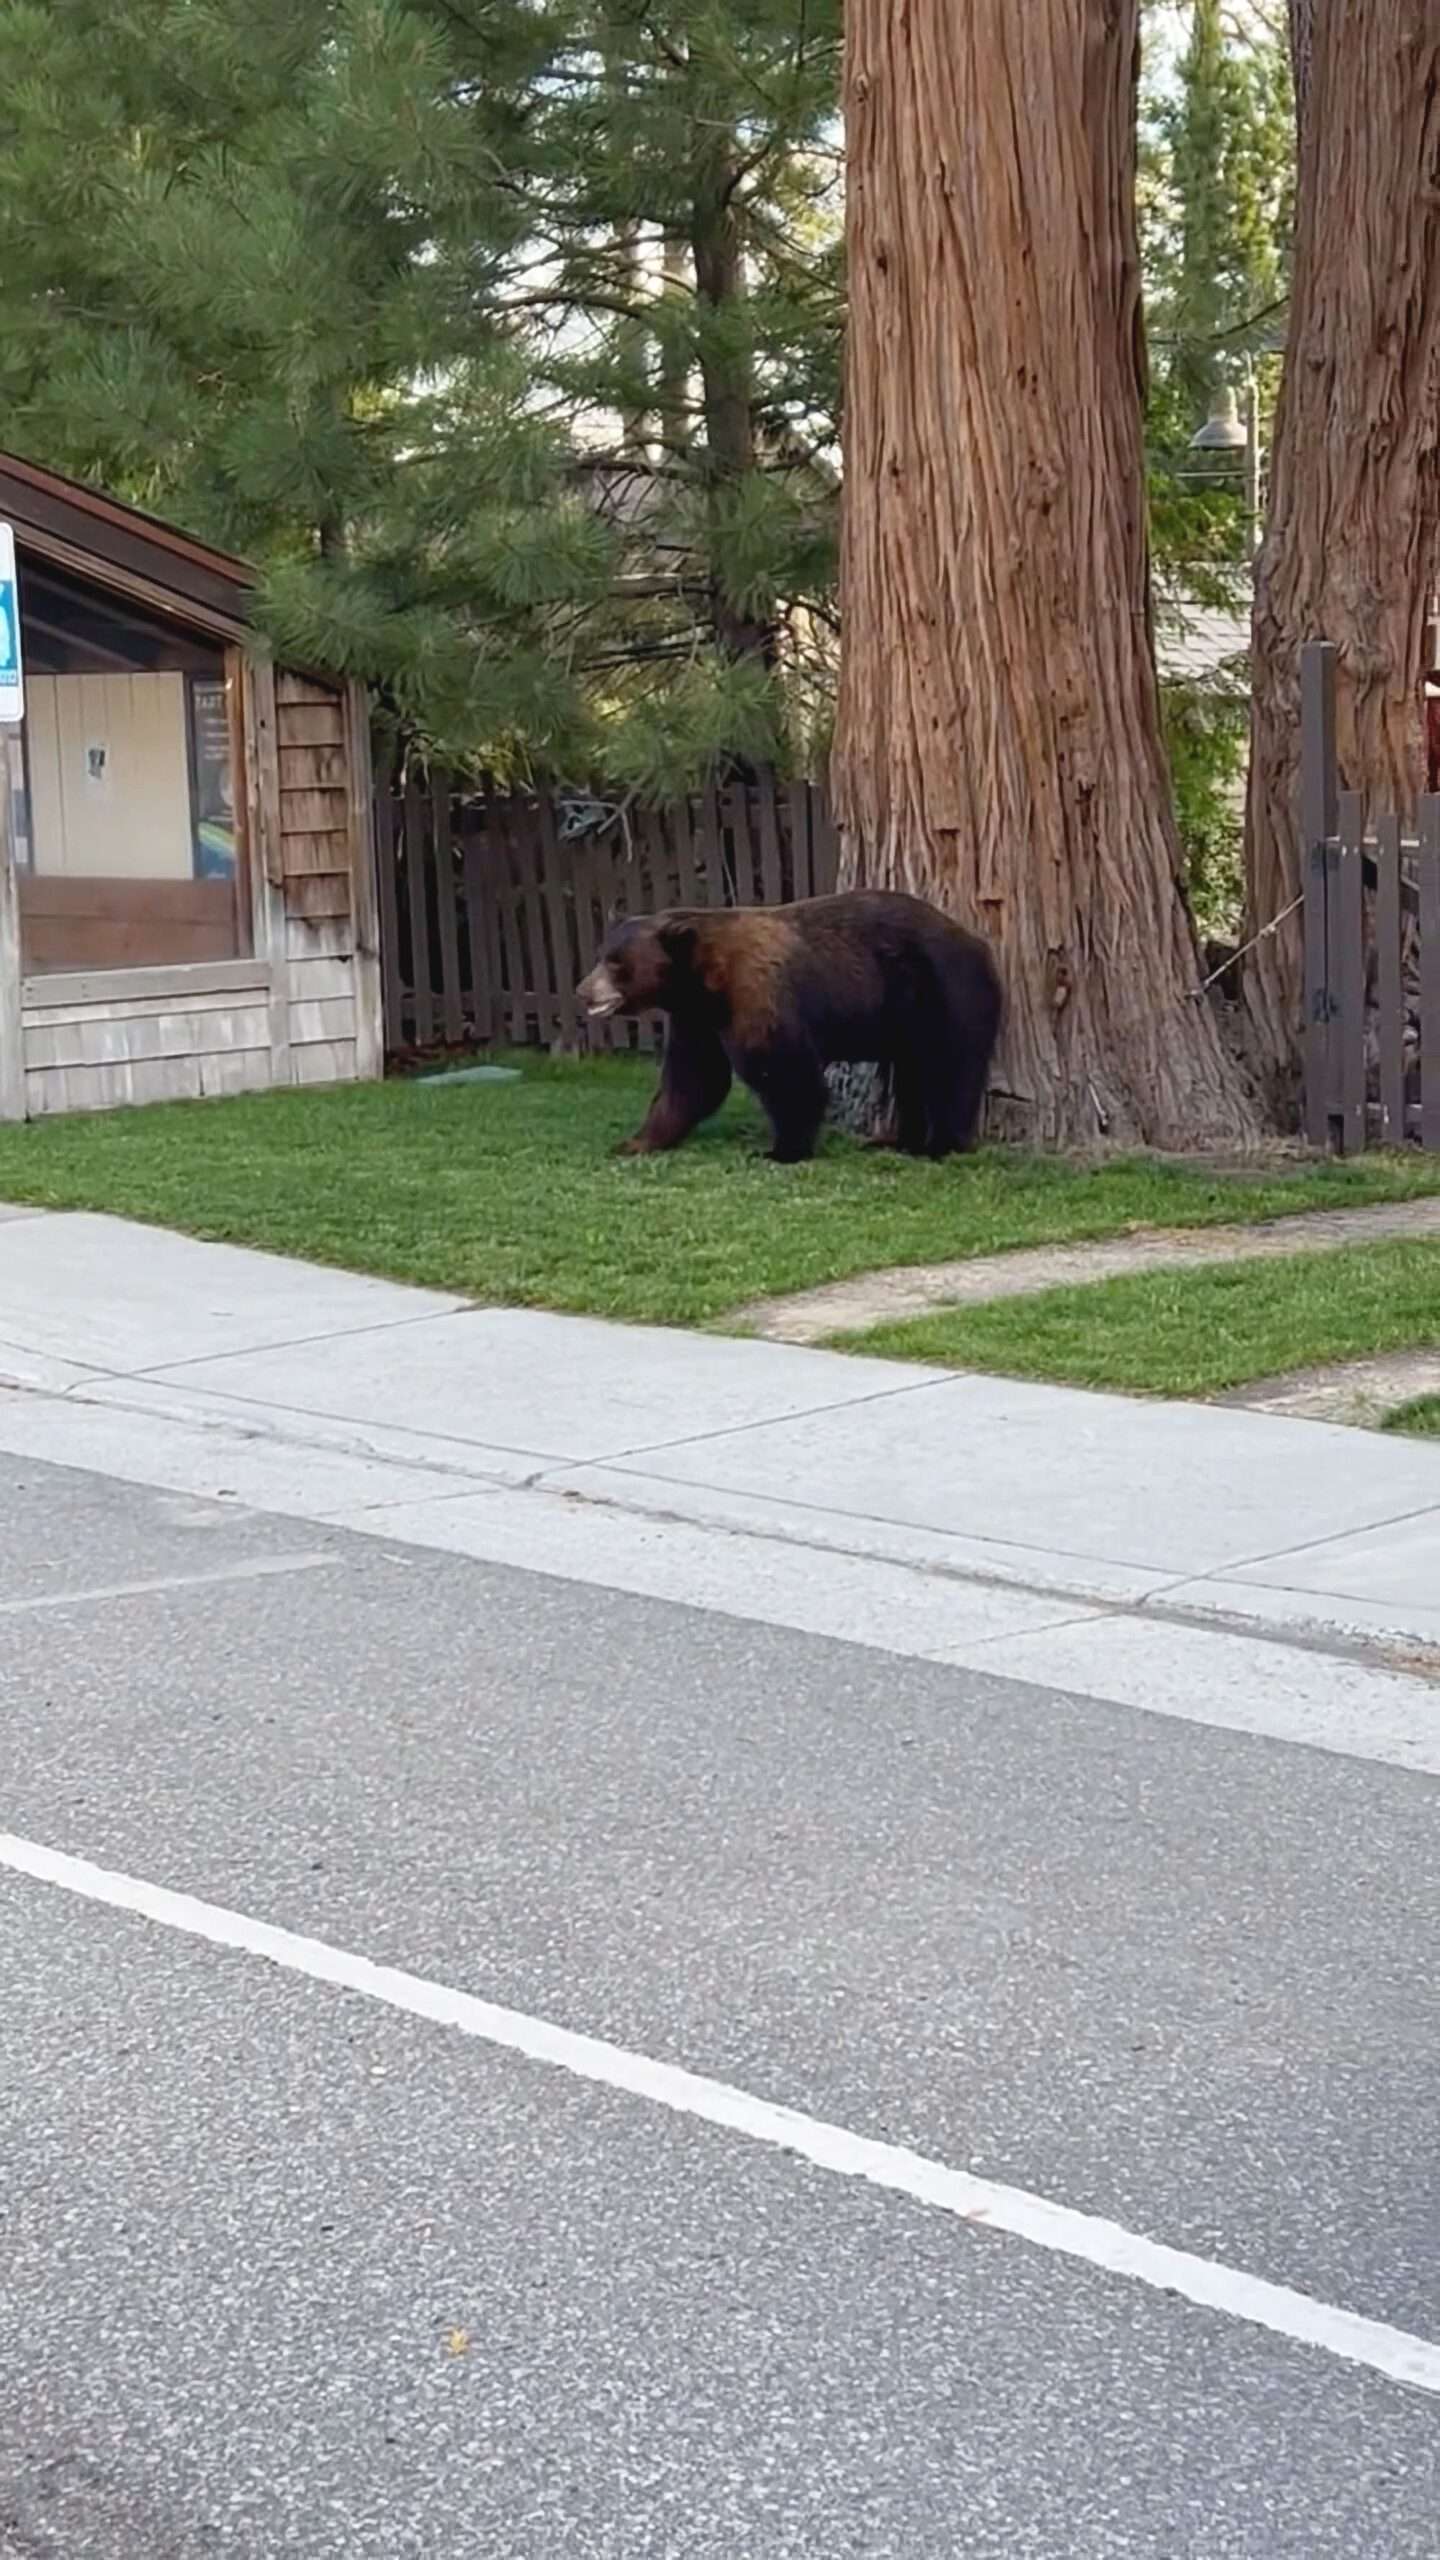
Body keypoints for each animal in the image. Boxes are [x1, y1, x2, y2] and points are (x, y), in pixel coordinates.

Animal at [571, 880, 999, 1162]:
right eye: (602, 953)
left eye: (616, 963)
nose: (583, 990)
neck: (706, 978)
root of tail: (977, 941)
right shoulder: (697, 1018)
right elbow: (691, 1079)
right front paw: (637, 1141)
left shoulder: (756, 995)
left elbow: (785, 1072)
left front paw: (782, 1149)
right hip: (906, 1016)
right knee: (911, 1073)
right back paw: (900, 1140)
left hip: (942, 990)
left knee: (948, 1066)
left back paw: (940, 1143)